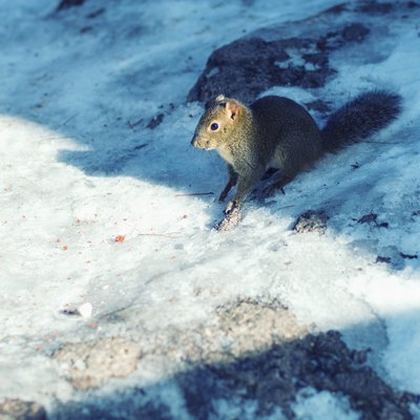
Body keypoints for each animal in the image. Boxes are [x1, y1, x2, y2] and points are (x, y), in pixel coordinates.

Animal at [190, 90, 400, 231]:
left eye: (214, 126)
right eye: (201, 118)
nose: (194, 143)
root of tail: (317, 146)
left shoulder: (252, 162)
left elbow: (247, 183)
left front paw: (234, 203)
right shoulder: (232, 165)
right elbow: (232, 178)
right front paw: (225, 191)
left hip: (289, 148)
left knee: (293, 172)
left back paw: (275, 184)